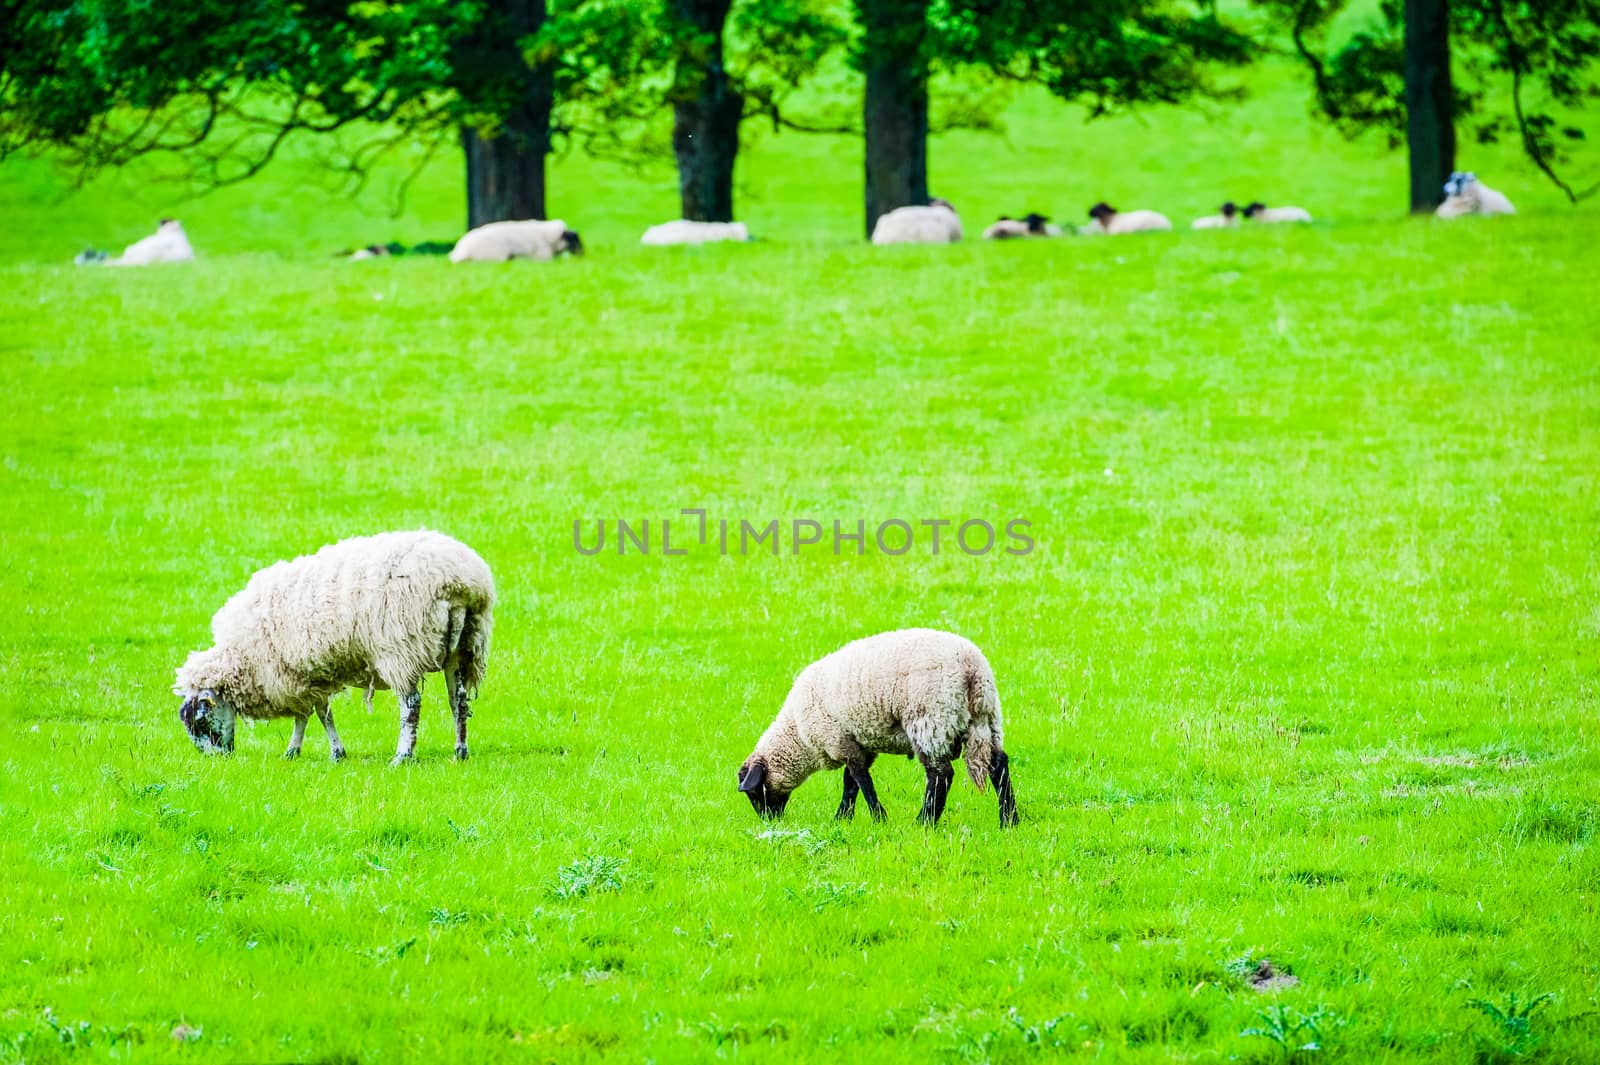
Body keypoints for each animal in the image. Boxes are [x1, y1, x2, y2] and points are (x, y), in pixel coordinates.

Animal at [168, 530, 492, 764]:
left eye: (200, 720)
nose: (218, 760)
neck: (242, 657)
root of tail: (462, 584)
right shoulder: (305, 677)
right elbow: (311, 715)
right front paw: (301, 752)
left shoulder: (296, 676)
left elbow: (318, 715)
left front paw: (323, 752)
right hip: (463, 648)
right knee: (459, 701)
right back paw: (460, 751)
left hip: (400, 652)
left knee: (411, 705)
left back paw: (403, 756)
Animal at [732, 626, 1017, 825]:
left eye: (754, 792)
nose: (769, 821)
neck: (798, 735)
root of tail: (973, 669)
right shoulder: (859, 742)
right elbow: (850, 784)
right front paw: (842, 819)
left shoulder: (841, 741)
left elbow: (862, 782)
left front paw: (878, 818)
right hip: (987, 720)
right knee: (998, 765)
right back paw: (1009, 820)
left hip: (930, 721)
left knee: (940, 776)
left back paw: (924, 822)